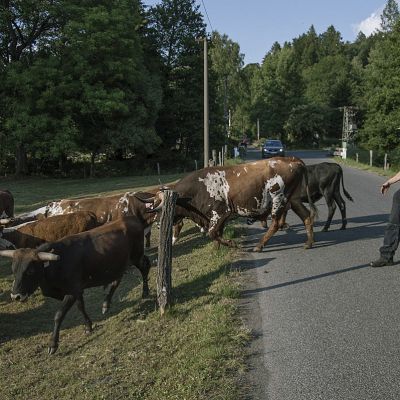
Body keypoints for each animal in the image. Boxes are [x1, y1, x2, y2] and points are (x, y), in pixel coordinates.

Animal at [0, 216, 150, 354]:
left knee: (145, 267)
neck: (57, 264)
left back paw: (145, 292)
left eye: (30, 271)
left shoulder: (72, 291)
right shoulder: (77, 290)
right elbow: (80, 306)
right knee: (116, 280)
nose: (15, 296)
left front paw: (53, 344)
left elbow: (59, 315)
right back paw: (106, 304)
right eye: (14, 270)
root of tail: (131, 219)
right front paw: (88, 326)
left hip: (136, 256)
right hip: (118, 265)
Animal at [139, 157, 318, 253]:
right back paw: (309, 243)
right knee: (306, 217)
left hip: (278, 200)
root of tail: (292, 160)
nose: (157, 224)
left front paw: (230, 244)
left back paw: (259, 245)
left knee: (276, 223)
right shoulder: (218, 217)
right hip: (293, 200)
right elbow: (217, 233)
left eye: (161, 208)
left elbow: (212, 232)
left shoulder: (219, 213)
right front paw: (217, 249)